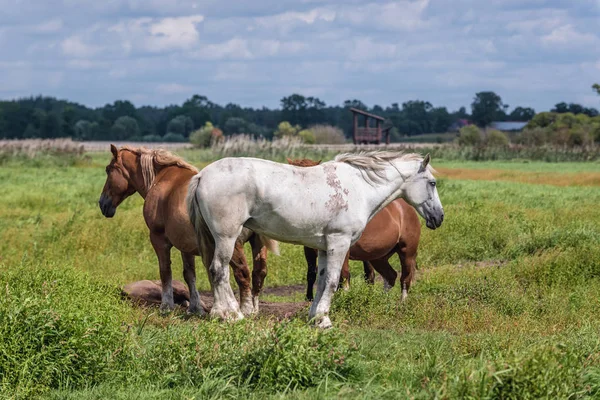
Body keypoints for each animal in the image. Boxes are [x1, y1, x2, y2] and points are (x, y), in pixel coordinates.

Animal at [98, 144, 276, 316]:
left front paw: (166, 306)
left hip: (231, 245)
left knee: (242, 274)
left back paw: (245, 311)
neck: (161, 179)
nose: (102, 203)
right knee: (258, 274)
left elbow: (165, 271)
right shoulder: (185, 245)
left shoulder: (158, 239)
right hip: (257, 243)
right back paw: (253, 309)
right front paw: (195, 308)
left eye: (108, 169)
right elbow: (190, 274)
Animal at [288, 158, 422, 302]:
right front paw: (309, 298)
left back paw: (402, 302)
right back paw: (381, 301)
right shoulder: (309, 250)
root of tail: (406, 208)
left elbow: (344, 275)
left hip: (407, 251)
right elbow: (312, 273)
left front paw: (344, 298)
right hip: (379, 256)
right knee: (390, 276)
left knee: (404, 278)